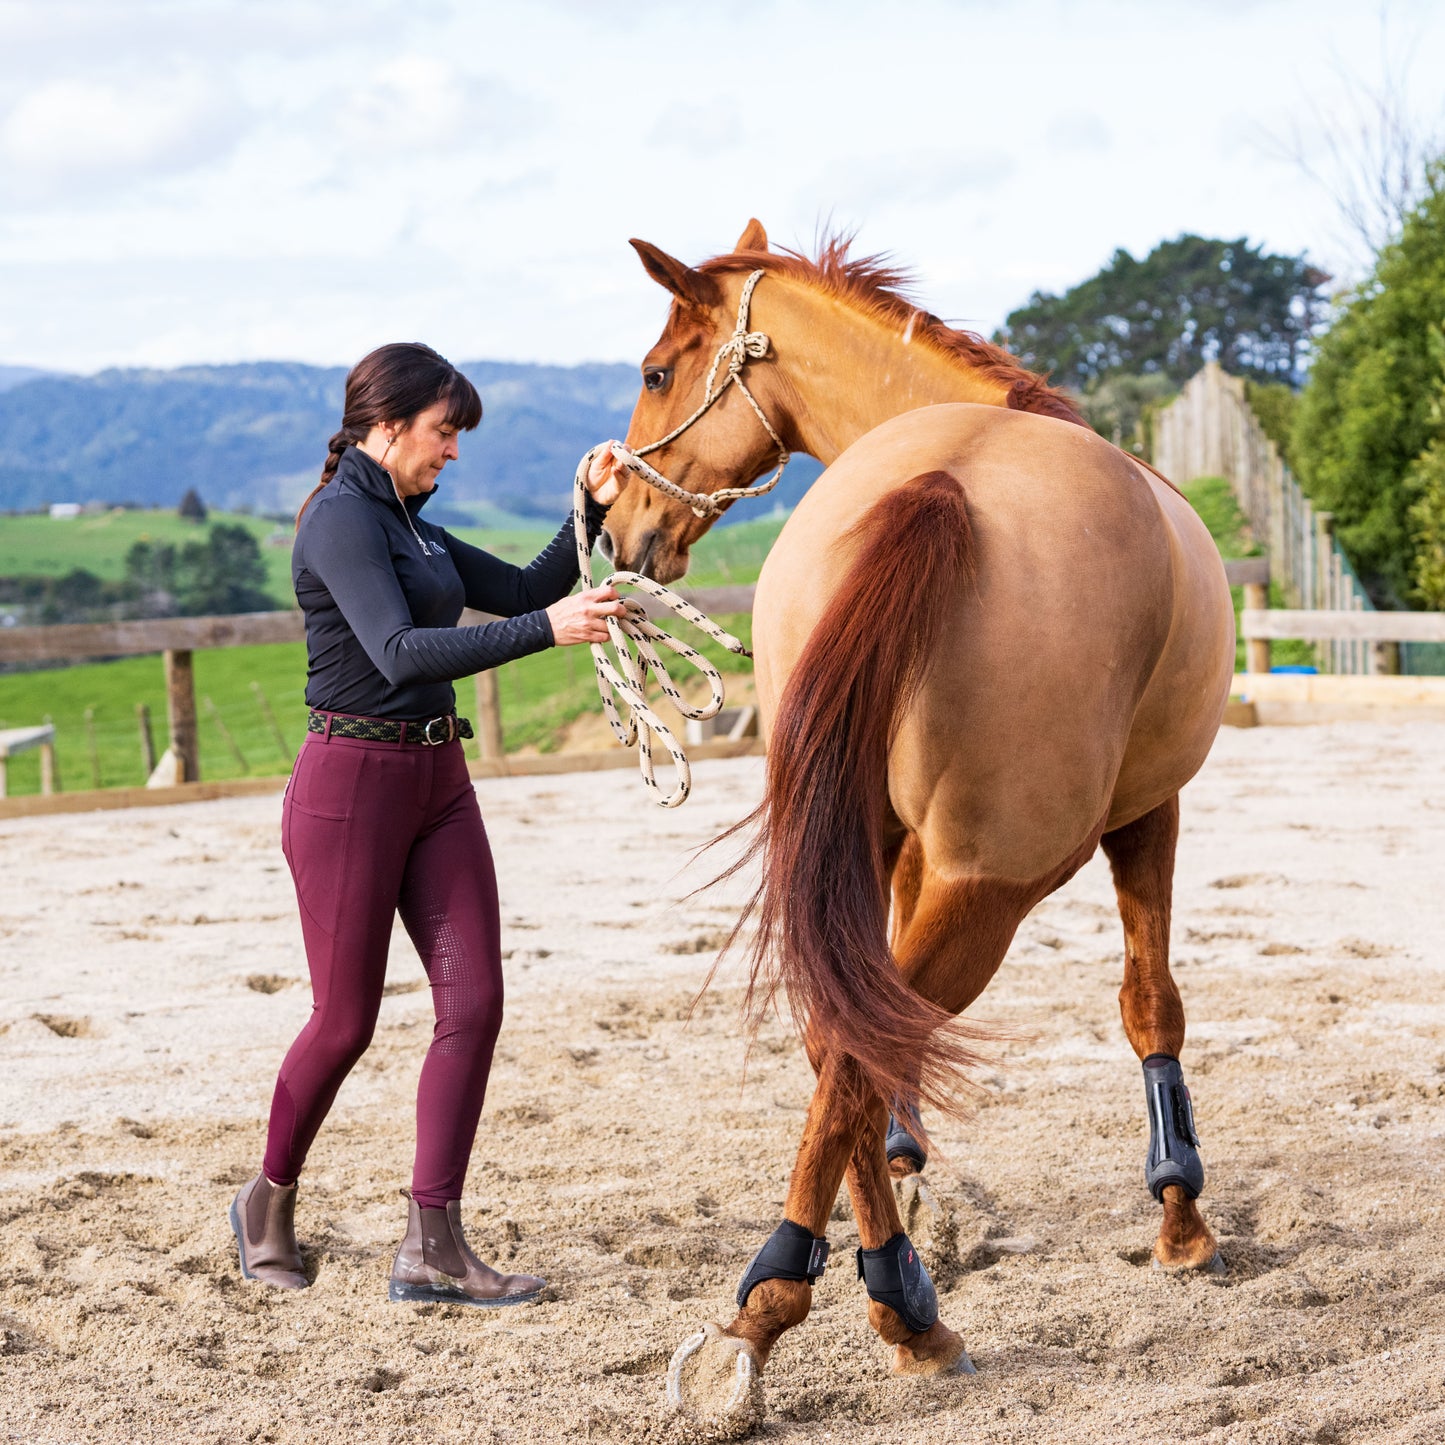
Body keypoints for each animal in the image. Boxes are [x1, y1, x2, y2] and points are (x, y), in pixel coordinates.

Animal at [604, 222, 1236, 1421]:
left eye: (657, 372)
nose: (618, 528)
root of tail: (949, 481)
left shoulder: (893, 846)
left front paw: (902, 1153)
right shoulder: (1150, 810)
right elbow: (1152, 1003)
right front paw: (1181, 1216)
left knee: (839, 1030)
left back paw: (876, 1285)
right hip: (993, 884)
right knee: (860, 1036)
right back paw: (836, 1307)